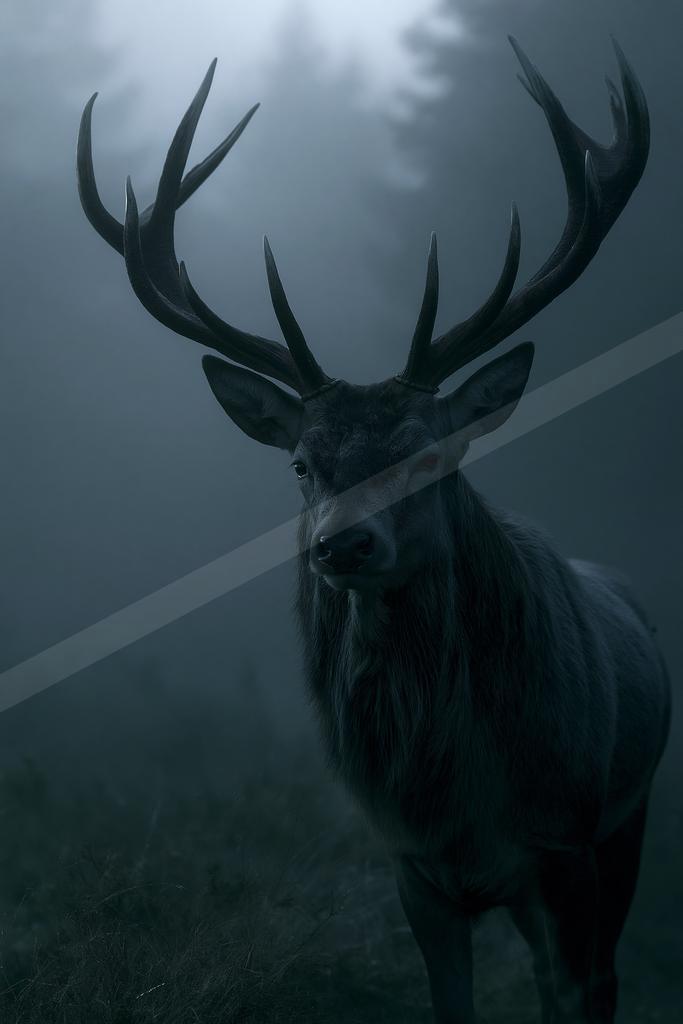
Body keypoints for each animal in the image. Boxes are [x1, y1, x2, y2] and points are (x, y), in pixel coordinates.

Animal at [77, 36, 671, 1024]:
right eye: (300, 463)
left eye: (430, 453)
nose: (342, 546)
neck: (456, 799)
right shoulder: (414, 873)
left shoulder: (567, 845)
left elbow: (577, 992)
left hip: (630, 820)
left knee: (596, 984)